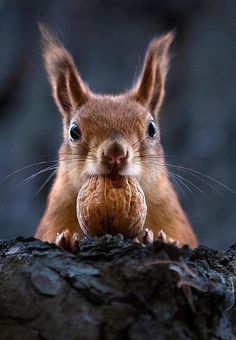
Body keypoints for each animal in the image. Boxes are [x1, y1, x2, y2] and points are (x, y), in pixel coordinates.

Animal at [34, 26, 197, 250]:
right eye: (74, 131)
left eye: (152, 129)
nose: (115, 154)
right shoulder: (55, 215)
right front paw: (64, 240)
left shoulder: (172, 215)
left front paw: (161, 239)